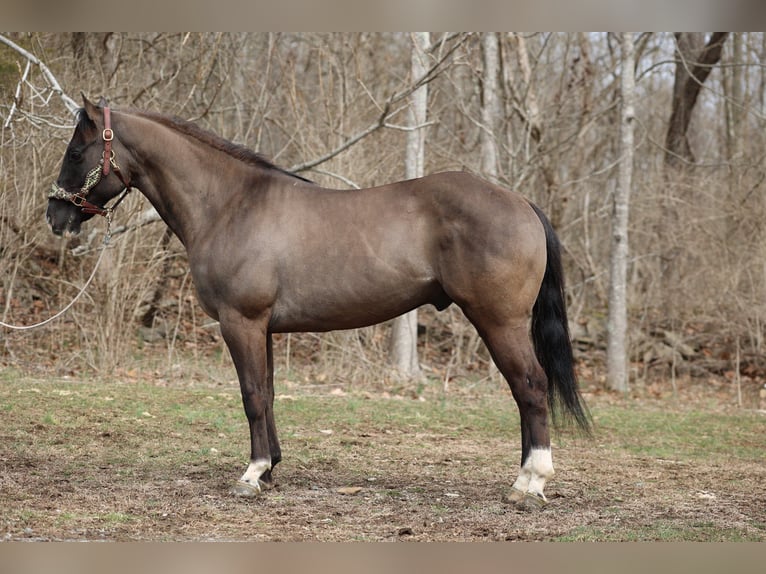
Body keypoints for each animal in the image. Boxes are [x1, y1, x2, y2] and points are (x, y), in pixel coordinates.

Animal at [45, 98, 592, 512]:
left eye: (76, 150)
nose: (54, 216)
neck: (230, 204)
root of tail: (520, 203)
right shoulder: (262, 327)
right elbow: (267, 393)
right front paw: (270, 470)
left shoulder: (241, 322)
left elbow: (251, 396)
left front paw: (252, 475)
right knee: (524, 393)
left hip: (499, 320)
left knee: (530, 386)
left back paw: (530, 483)